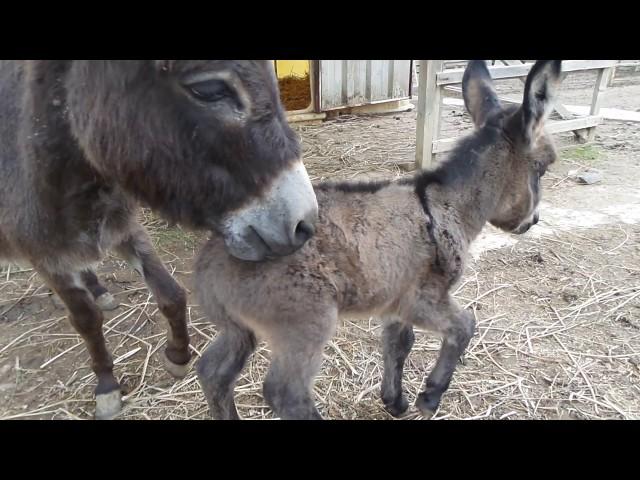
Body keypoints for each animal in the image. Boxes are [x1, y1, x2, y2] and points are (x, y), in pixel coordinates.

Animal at [198, 61, 564, 420]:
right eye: (542, 169)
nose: (532, 222)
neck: (448, 204)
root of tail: (212, 259)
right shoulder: (424, 299)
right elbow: (464, 326)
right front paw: (429, 397)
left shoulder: (397, 300)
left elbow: (399, 343)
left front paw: (395, 401)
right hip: (304, 321)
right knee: (285, 392)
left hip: (237, 327)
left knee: (213, 372)